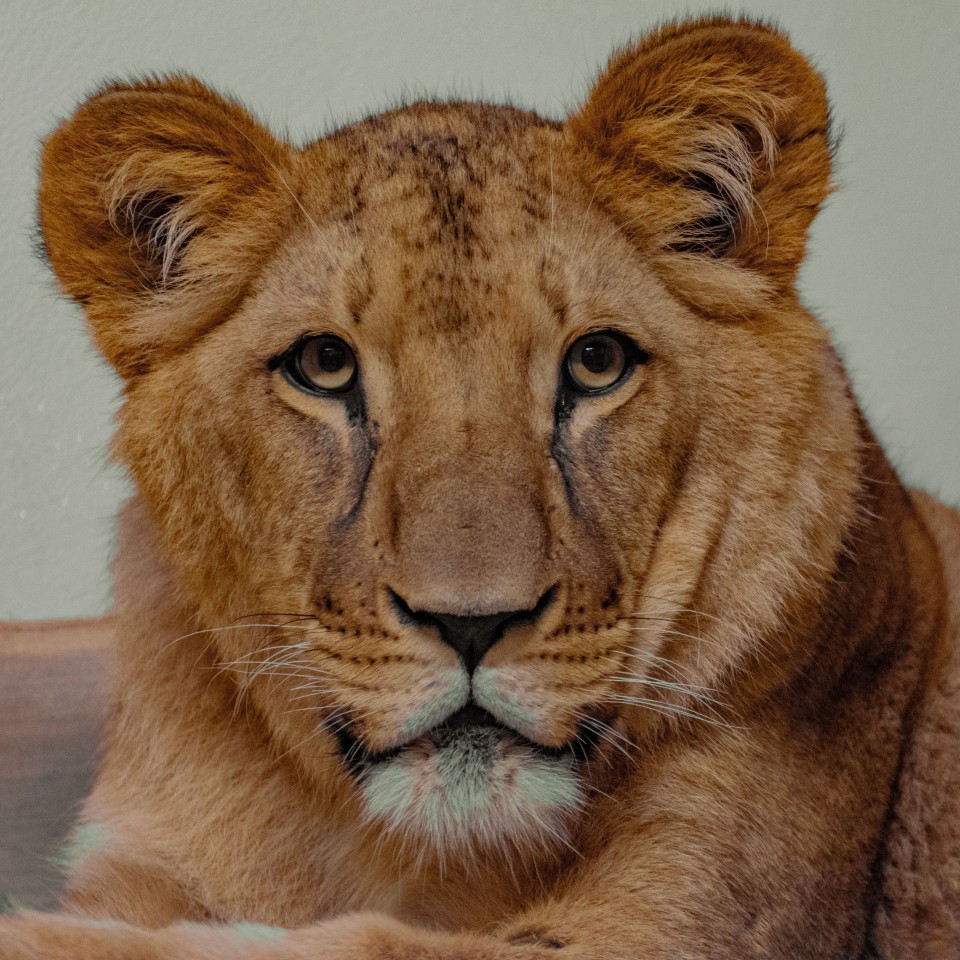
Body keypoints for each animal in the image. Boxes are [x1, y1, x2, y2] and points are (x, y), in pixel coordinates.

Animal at [1, 15, 960, 960]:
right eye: (323, 365)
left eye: (597, 361)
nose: (471, 624)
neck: (385, 850)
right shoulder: (141, 858)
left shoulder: (692, 926)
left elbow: (336, 944)